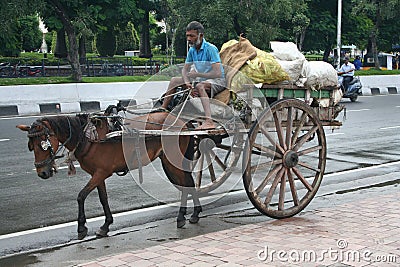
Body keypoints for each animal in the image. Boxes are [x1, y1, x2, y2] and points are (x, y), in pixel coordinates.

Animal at [16, 111, 202, 241]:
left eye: (44, 143)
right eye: (31, 145)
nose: (42, 172)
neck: (88, 137)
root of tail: (183, 122)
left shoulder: (101, 172)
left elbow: (81, 196)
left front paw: (81, 228)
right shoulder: (98, 174)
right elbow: (103, 198)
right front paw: (105, 225)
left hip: (173, 160)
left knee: (186, 183)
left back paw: (185, 216)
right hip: (168, 161)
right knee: (186, 182)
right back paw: (193, 213)